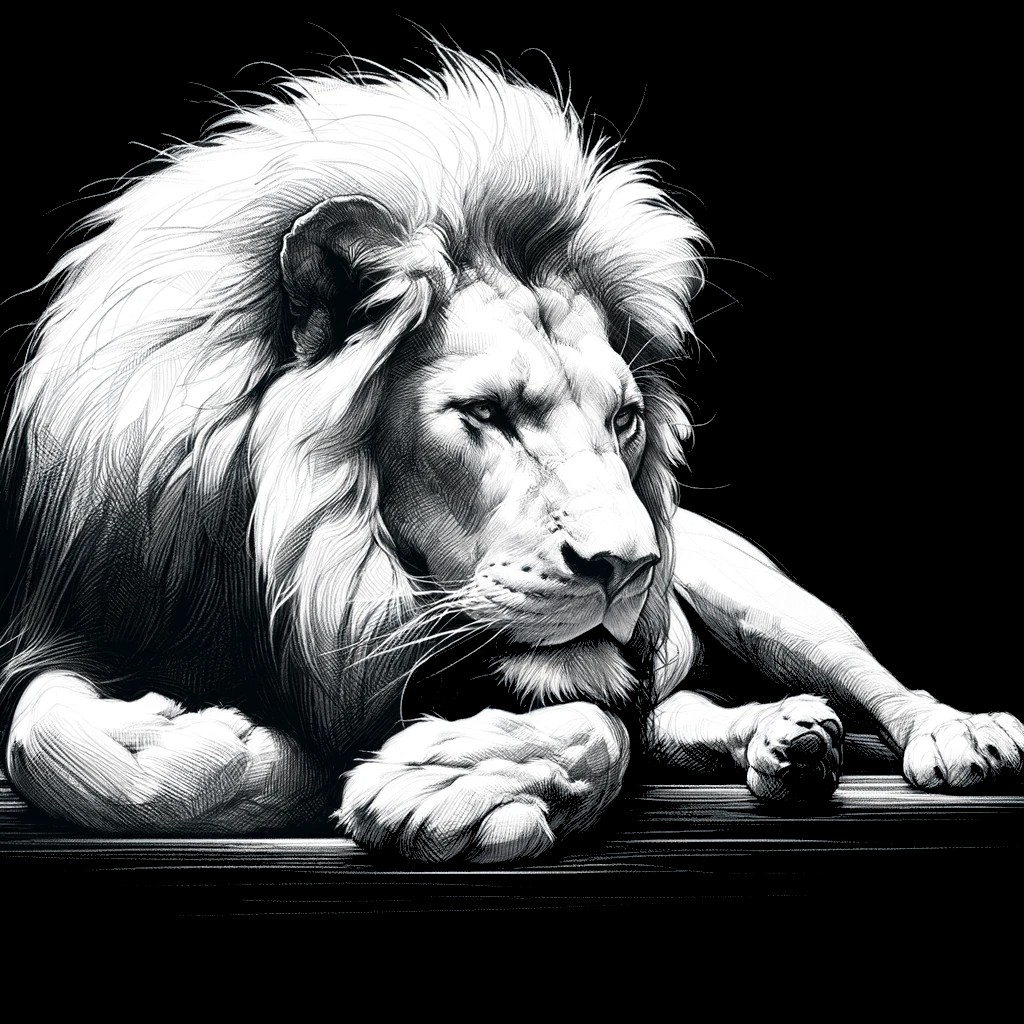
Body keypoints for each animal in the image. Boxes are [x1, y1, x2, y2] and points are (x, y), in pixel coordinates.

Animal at [1, 50, 1021, 862]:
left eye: (624, 420)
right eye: (486, 412)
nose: (631, 566)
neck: (328, 591)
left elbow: (596, 731)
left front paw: (444, 783)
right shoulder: (83, 625)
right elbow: (34, 734)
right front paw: (219, 747)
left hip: (764, 602)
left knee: (867, 679)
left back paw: (950, 735)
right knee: (683, 714)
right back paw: (788, 740)